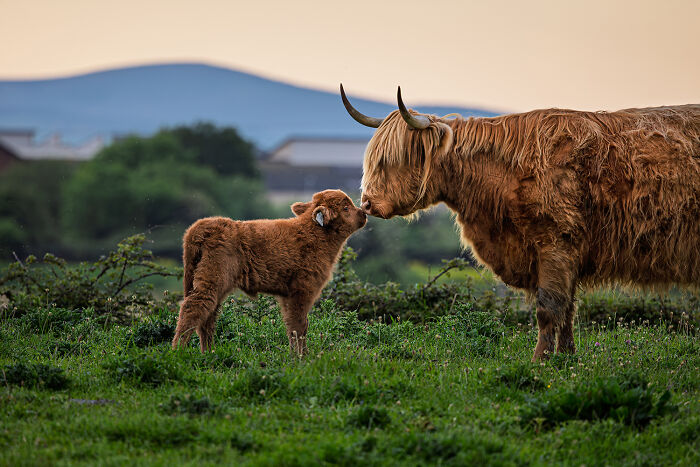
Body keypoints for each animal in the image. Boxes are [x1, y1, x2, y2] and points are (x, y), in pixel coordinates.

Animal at [172, 189, 367, 355]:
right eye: (346, 207)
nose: (364, 213)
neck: (314, 234)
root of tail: (203, 226)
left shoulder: (287, 295)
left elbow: (292, 325)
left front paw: (296, 354)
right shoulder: (302, 291)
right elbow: (300, 324)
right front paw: (302, 357)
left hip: (212, 284)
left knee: (208, 317)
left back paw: (209, 353)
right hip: (212, 280)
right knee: (193, 308)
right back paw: (178, 351)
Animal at [341, 84, 700, 361]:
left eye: (395, 159)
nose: (367, 202)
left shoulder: (556, 243)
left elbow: (549, 307)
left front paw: (540, 360)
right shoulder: (565, 253)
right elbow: (568, 308)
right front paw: (566, 357)